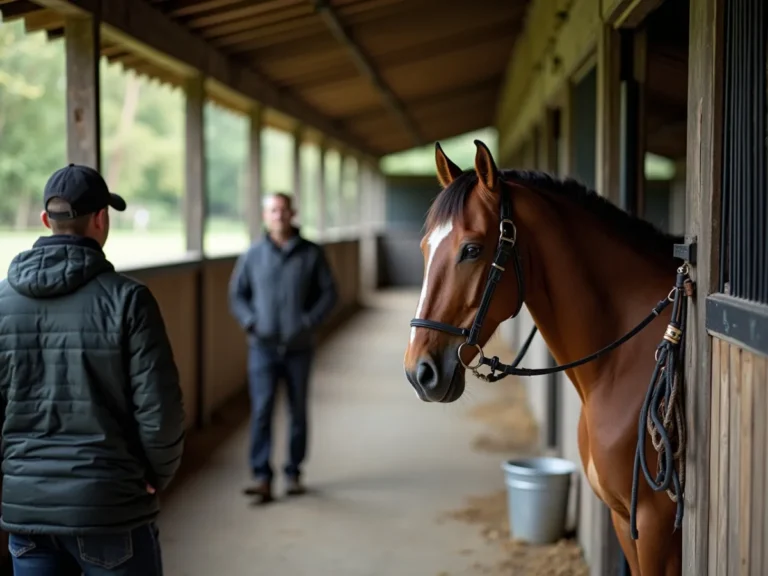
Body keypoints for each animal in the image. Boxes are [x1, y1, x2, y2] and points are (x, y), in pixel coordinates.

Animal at [403, 140, 684, 575]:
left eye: (471, 249)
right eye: (424, 248)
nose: (420, 372)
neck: (621, 364)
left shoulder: (655, 530)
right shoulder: (624, 520)